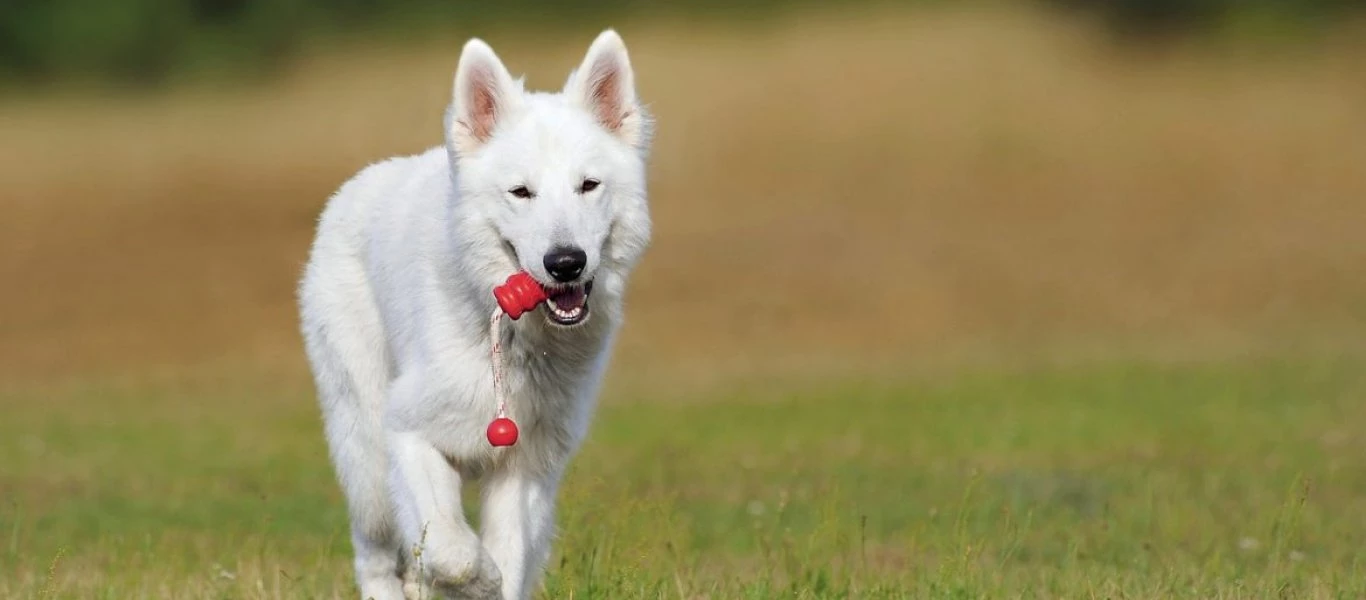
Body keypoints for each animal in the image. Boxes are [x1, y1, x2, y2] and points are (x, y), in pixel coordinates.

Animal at [301, 29, 652, 600]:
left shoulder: (525, 468)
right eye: (521, 192)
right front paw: (478, 578)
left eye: (588, 186)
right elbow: (456, 553)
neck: (511, 341)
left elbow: (505, 554)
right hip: (368, 460)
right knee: (375, 559)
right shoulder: (409, 433)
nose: (565, 262)